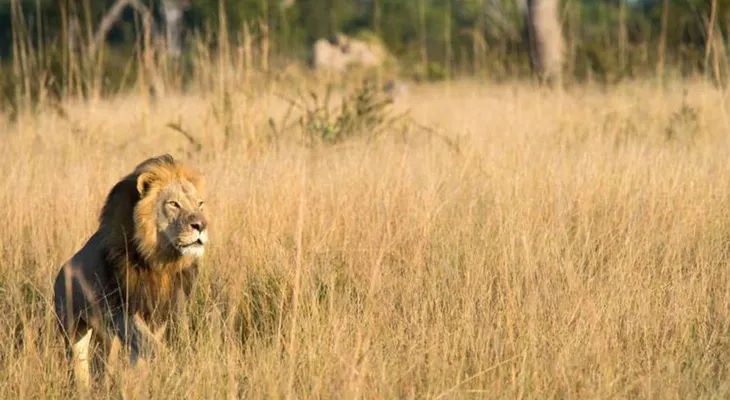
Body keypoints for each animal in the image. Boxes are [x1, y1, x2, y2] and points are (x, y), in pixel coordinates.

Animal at [52, 154, 208, 390]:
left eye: (199, 204)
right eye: (173, 204)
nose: (201, 225)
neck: (160, 261)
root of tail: (61, 273)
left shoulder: (161, 309)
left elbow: (144, 348)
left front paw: (141, 380)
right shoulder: (121, 309)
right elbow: (148, 343)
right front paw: (172, 367)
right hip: (72, 325)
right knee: (81, 361)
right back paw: (84, 388)